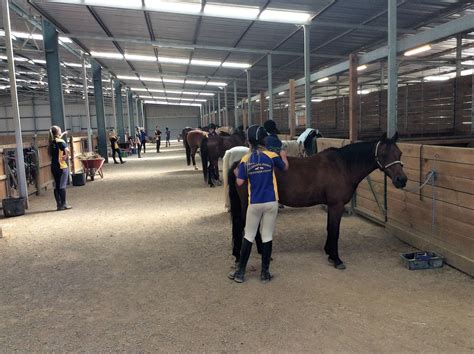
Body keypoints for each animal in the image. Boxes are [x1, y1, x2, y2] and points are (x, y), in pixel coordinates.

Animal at [228, 132, 406, 268]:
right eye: (383, 154)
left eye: (400, 153)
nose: (401, 180)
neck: (342, 166)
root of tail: (239, 163)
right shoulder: (336, 205)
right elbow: (335, 231)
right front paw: (336, 259)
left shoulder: (332, 206)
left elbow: (329, 229)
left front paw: (328, 252)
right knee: (244, 225)